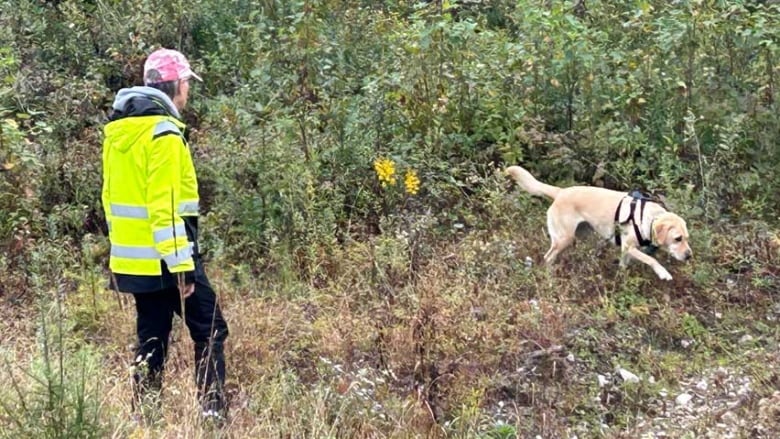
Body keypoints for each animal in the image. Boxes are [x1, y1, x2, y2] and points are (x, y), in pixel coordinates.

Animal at [508, 165, 692, 282]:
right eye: (678, 238)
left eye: (687, 238)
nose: (689, 256)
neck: (648, 217)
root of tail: (561, 192)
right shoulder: (629, 246)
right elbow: (651, 259)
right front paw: (663, 272)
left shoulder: (626, 251)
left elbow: (624, 265)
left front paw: (622, 278)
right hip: (564, 238)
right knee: (548, 257)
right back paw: (550, 276)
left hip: (580, 235)